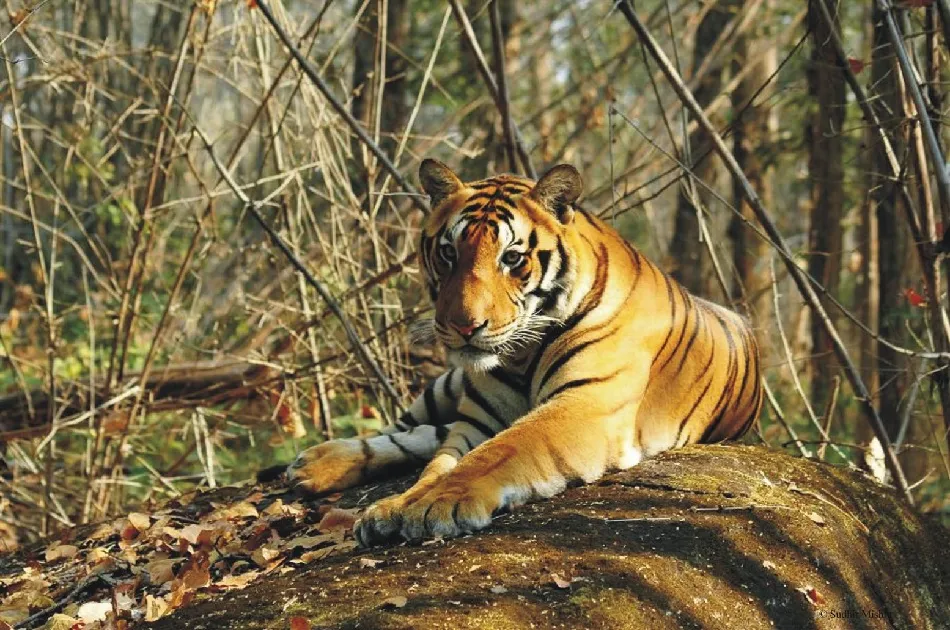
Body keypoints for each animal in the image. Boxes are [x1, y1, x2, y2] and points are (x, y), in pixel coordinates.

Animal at [287, 159, 763, 546]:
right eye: (448, 253)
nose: (464, 326)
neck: (520, 354)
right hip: (448, 386)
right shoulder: (478, 417)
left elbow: (498, 451)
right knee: (410, 429)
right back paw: (317, 463)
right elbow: (439, 462)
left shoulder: (585, 403)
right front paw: (398, 504)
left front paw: (431, 505)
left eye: (512, 258)